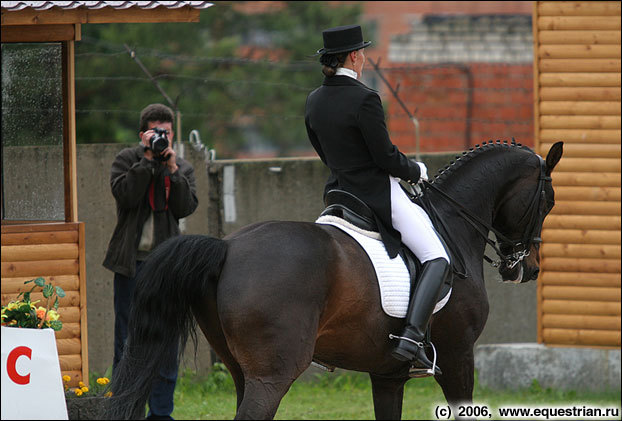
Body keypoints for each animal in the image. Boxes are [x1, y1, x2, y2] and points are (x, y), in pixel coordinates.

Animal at [106, 140, 564, 416]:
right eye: (548, 200)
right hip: (272, 375)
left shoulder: (387, 374)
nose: (526, 268)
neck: (452, 224)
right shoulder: (458, 356)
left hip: (241, 371)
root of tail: (226, 248)